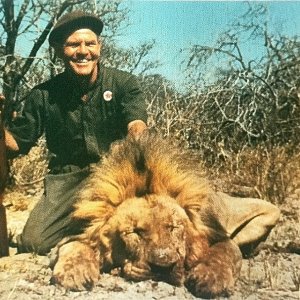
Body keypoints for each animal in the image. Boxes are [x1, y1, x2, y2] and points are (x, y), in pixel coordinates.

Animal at [49, 133, 278, 298]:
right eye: (134, 232)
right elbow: (75, 246)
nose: (163, 267)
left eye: (174, 227)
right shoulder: (76, 235)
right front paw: (74, 272)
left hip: (270, 212)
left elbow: (226, 251)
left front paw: (211, 279)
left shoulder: (218, 234)